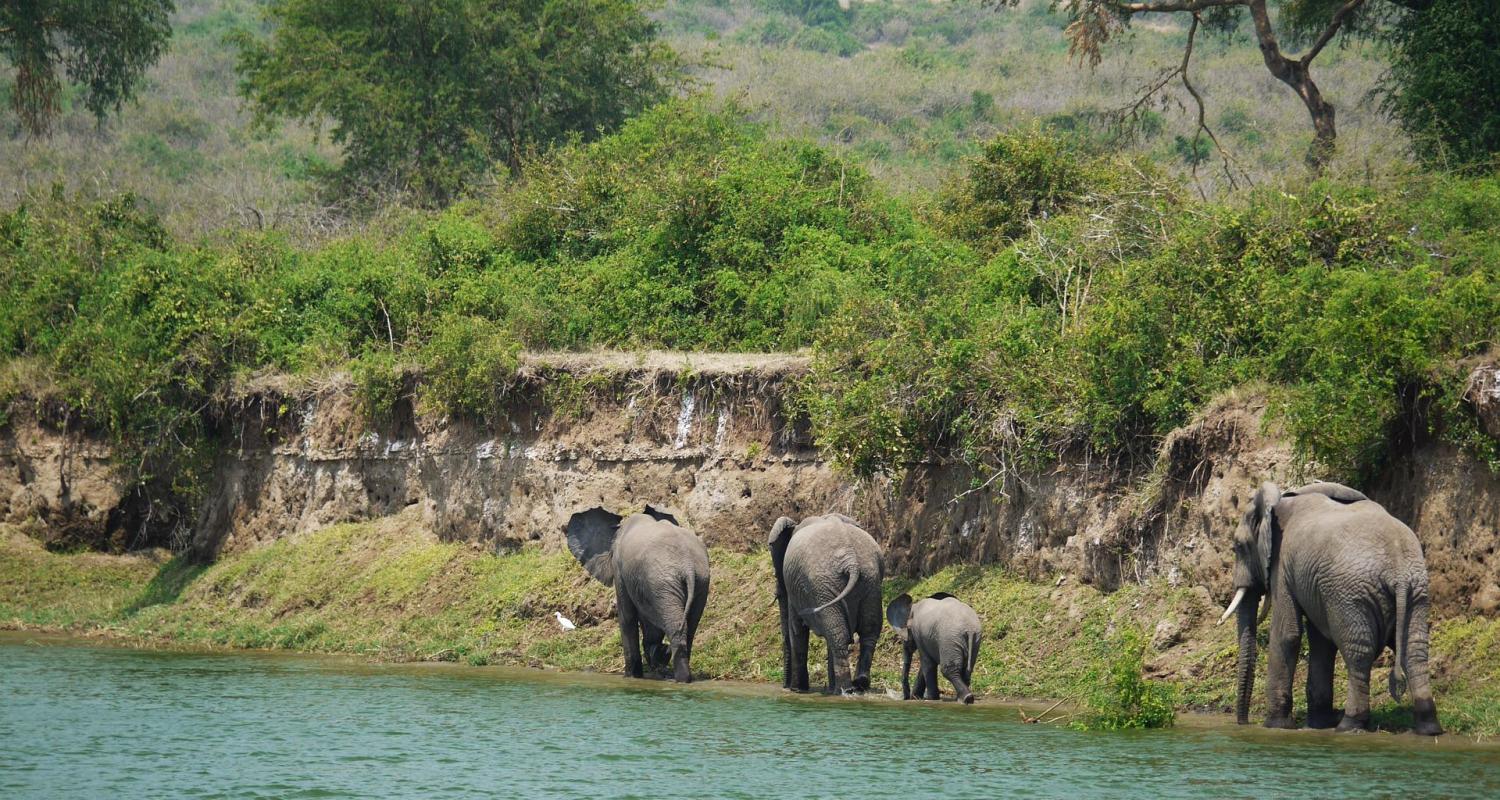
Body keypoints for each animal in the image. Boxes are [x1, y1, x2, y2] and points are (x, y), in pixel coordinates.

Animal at [564, 504, 711, 681]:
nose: (659, 655)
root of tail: (687, 565)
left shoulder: (619, 569)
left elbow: (627, 616)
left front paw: (631, 676)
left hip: (663, 583)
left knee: (676, 628)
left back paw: (680, 679)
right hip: (699, 582)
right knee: (689, 629)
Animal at [768, 510, 882, 693]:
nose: (784, 686)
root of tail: (851, 562)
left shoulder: (796, 587)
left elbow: (796, 629)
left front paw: (797, 690)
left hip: (823, 583)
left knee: (839, 634)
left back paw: (844, 690)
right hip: (869, 581)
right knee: (868, 632)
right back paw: (857, 684)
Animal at [1224, 480, 1446, 735]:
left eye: (1238, 547)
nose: (1243, 722)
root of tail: (1398, 570)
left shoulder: (1282, 565)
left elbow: (1287, 635)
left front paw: (1275, 726)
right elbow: (1321, 643)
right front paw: (1318, 724)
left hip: (1351, 594)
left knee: (1358, 653)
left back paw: (1349, 725)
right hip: (1415, 592)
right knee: (1414, 651)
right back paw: (1428, 727)